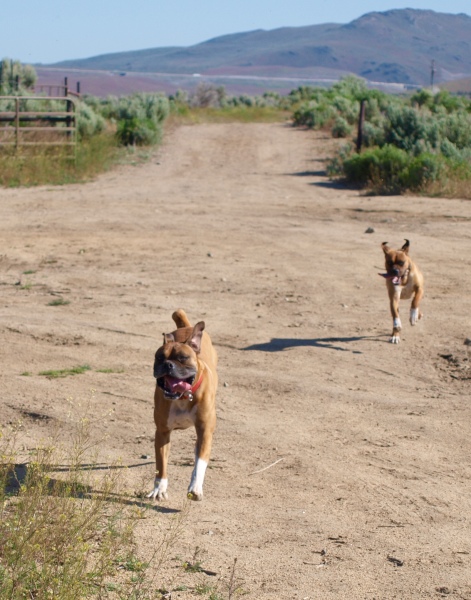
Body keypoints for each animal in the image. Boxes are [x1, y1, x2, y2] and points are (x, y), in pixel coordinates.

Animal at [148, 310, 218, 502]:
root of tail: (186, 326)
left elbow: (200, 462)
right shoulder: (162, 433)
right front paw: (159, 489)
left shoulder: (204, 432)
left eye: (183, 358)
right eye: (159, 358)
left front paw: (195, 487)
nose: (168, 364)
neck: (183, 396)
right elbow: (161, 464)